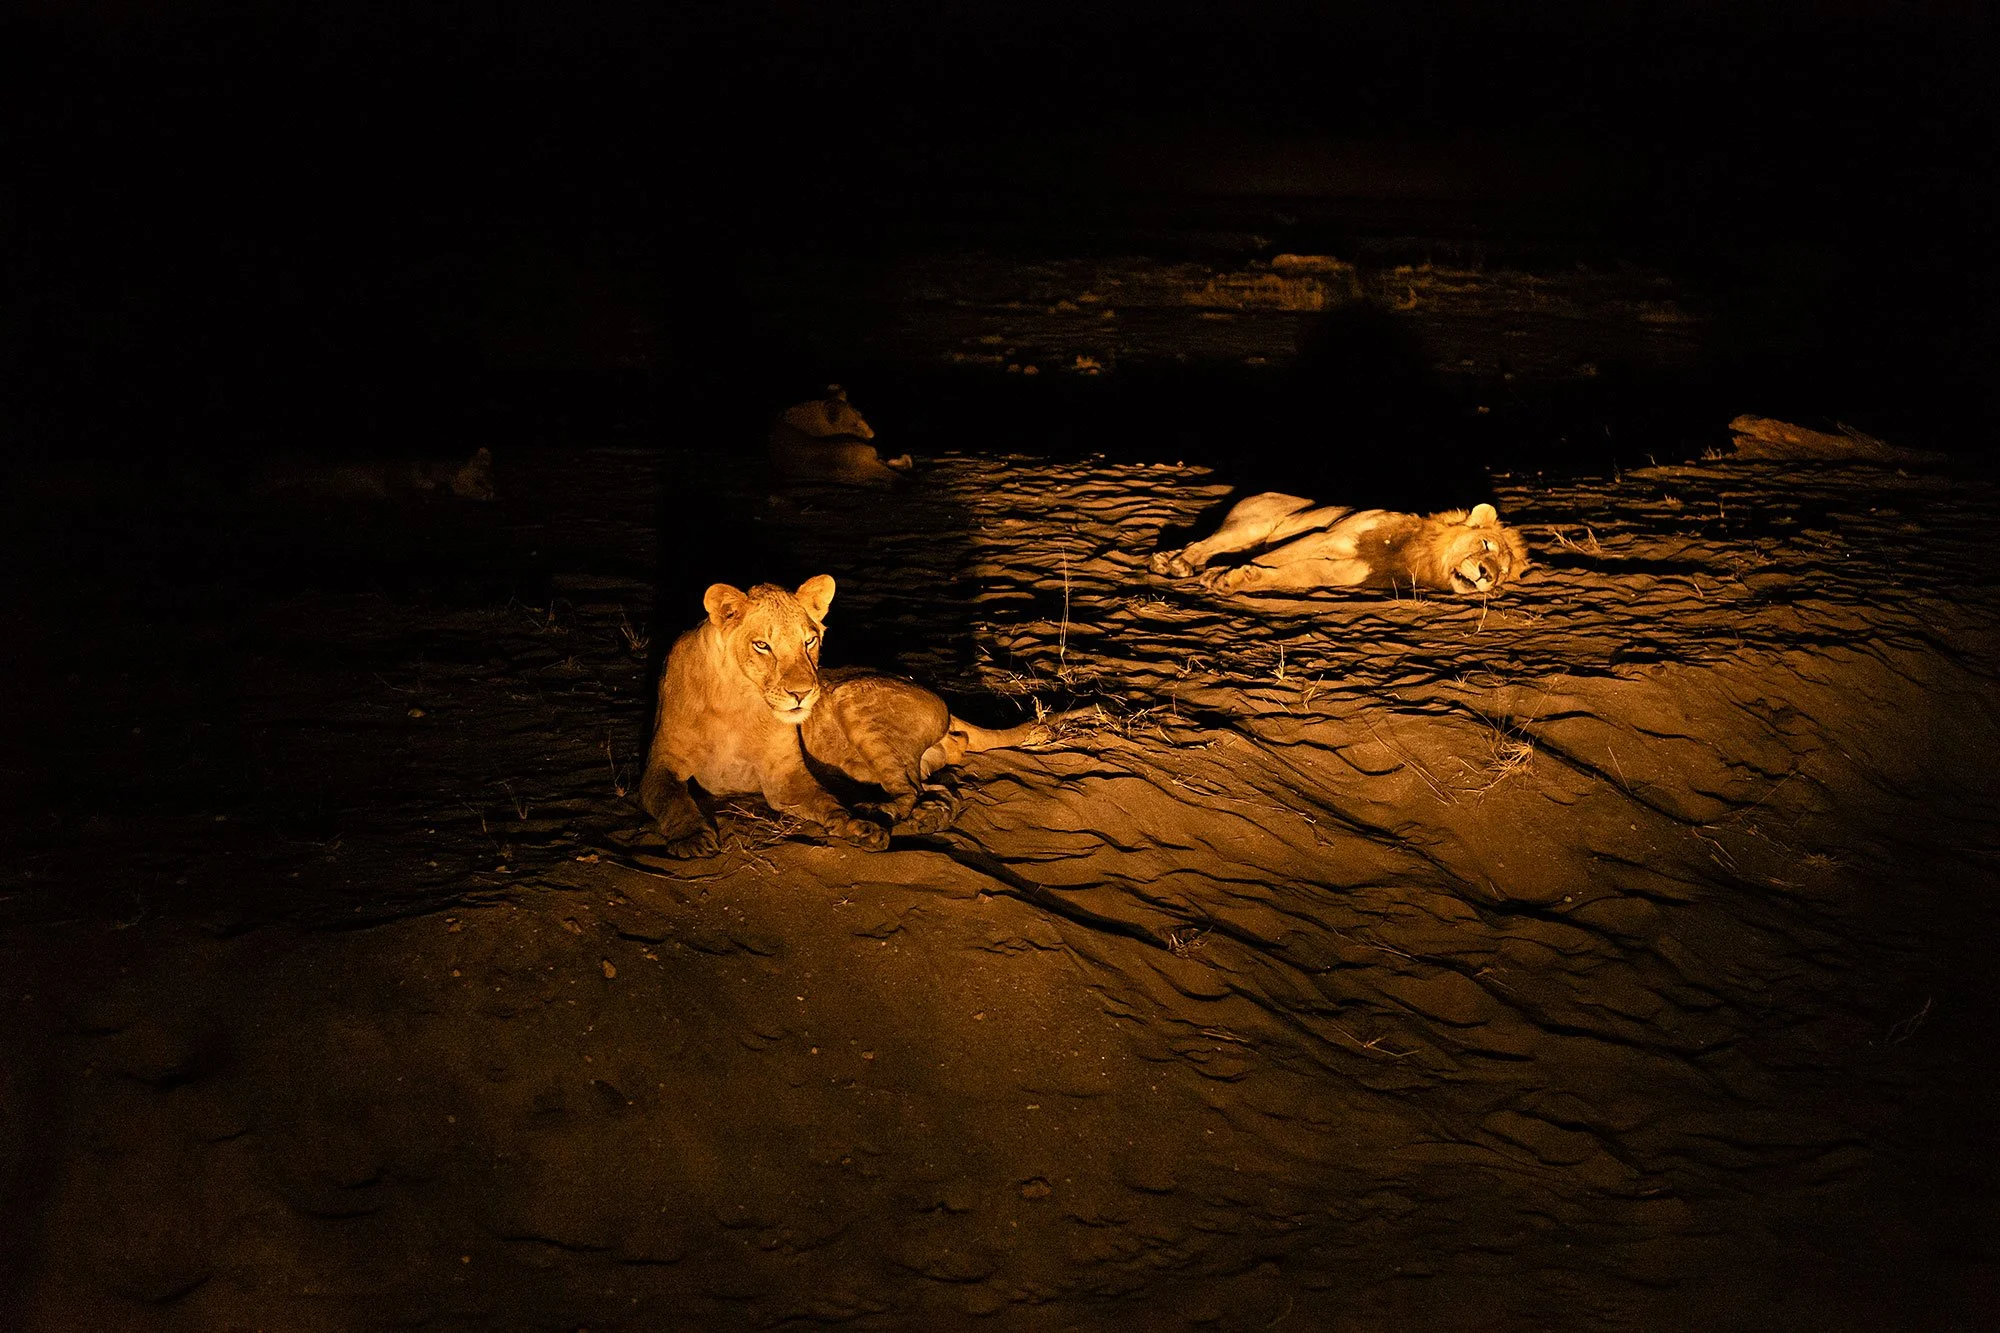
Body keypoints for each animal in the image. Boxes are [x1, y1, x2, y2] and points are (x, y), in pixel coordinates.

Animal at [639, 576, 1044, 857]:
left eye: (809, 641)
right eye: (762, 645)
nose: (802, 693)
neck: (738, 699)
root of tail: (938, 695)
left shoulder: (784, 777)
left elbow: (826, 801)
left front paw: (858, 825)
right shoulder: (661, 765)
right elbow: (673, 800)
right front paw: (692, 837)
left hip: (856, 704)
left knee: (911, 789)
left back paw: (880, 809)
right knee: (936, 789)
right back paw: (927, 815)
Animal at [1149, 492, 1529, 595]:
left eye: (1503, 571)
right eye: (1486, 545)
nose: (1487, 575)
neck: (1416, 554)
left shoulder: (1336, 573)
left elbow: (1282, 572)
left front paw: (1233, 578)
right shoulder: (1328, 536)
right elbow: (1280, 555)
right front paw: (1223, 575)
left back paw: (1166, 558)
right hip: (1251, 524)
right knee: (1203, 542)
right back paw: (1177, 562)